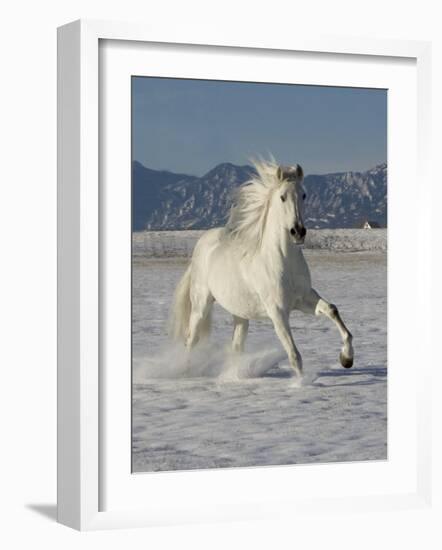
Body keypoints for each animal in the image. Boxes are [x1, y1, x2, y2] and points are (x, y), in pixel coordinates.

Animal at [171, 160, 354, 384]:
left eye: (303, 195)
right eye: (282, 196)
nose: (298, 232)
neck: (283, 261)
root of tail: (202, 244)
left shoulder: (304, 299)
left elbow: (332, 310)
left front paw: (346, 359)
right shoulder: (277, 312)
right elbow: (294, 355)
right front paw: (301, 384)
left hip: (240, 312)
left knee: (236, 346)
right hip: (201, 304)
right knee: (191, 338)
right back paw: (186, 372)